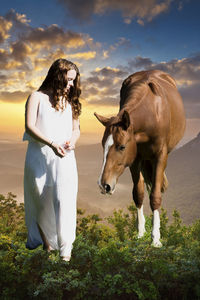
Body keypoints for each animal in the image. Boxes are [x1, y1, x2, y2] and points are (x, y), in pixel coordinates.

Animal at [94, 69, 185, 246]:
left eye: (122, 146)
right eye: (103, 145)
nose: (104, 185)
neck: (152, 112)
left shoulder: (160, 157)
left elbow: (155, 196)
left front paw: (156, 239)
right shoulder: (135, 160)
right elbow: (138, 194)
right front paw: (140, 233)